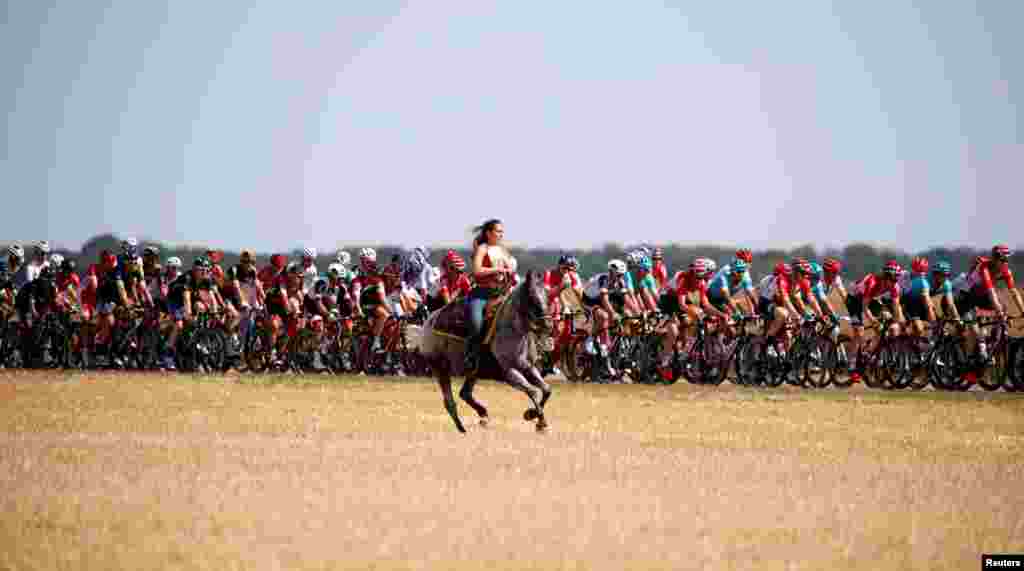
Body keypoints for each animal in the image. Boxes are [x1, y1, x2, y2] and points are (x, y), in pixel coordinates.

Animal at [421, 272, 557, 433]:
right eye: (532, 297)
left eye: (547, 295)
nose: (548, 325)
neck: (514, 331)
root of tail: (429, 322)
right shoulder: (510, 373)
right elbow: (533, 391)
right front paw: (535, 418)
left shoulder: (529, 368)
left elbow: (547, 390)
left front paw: (536, 419)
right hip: (440, 369)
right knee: (449, 402)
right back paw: (462, 429)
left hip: (473, 373)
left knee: (465, 394)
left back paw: (483, 415)